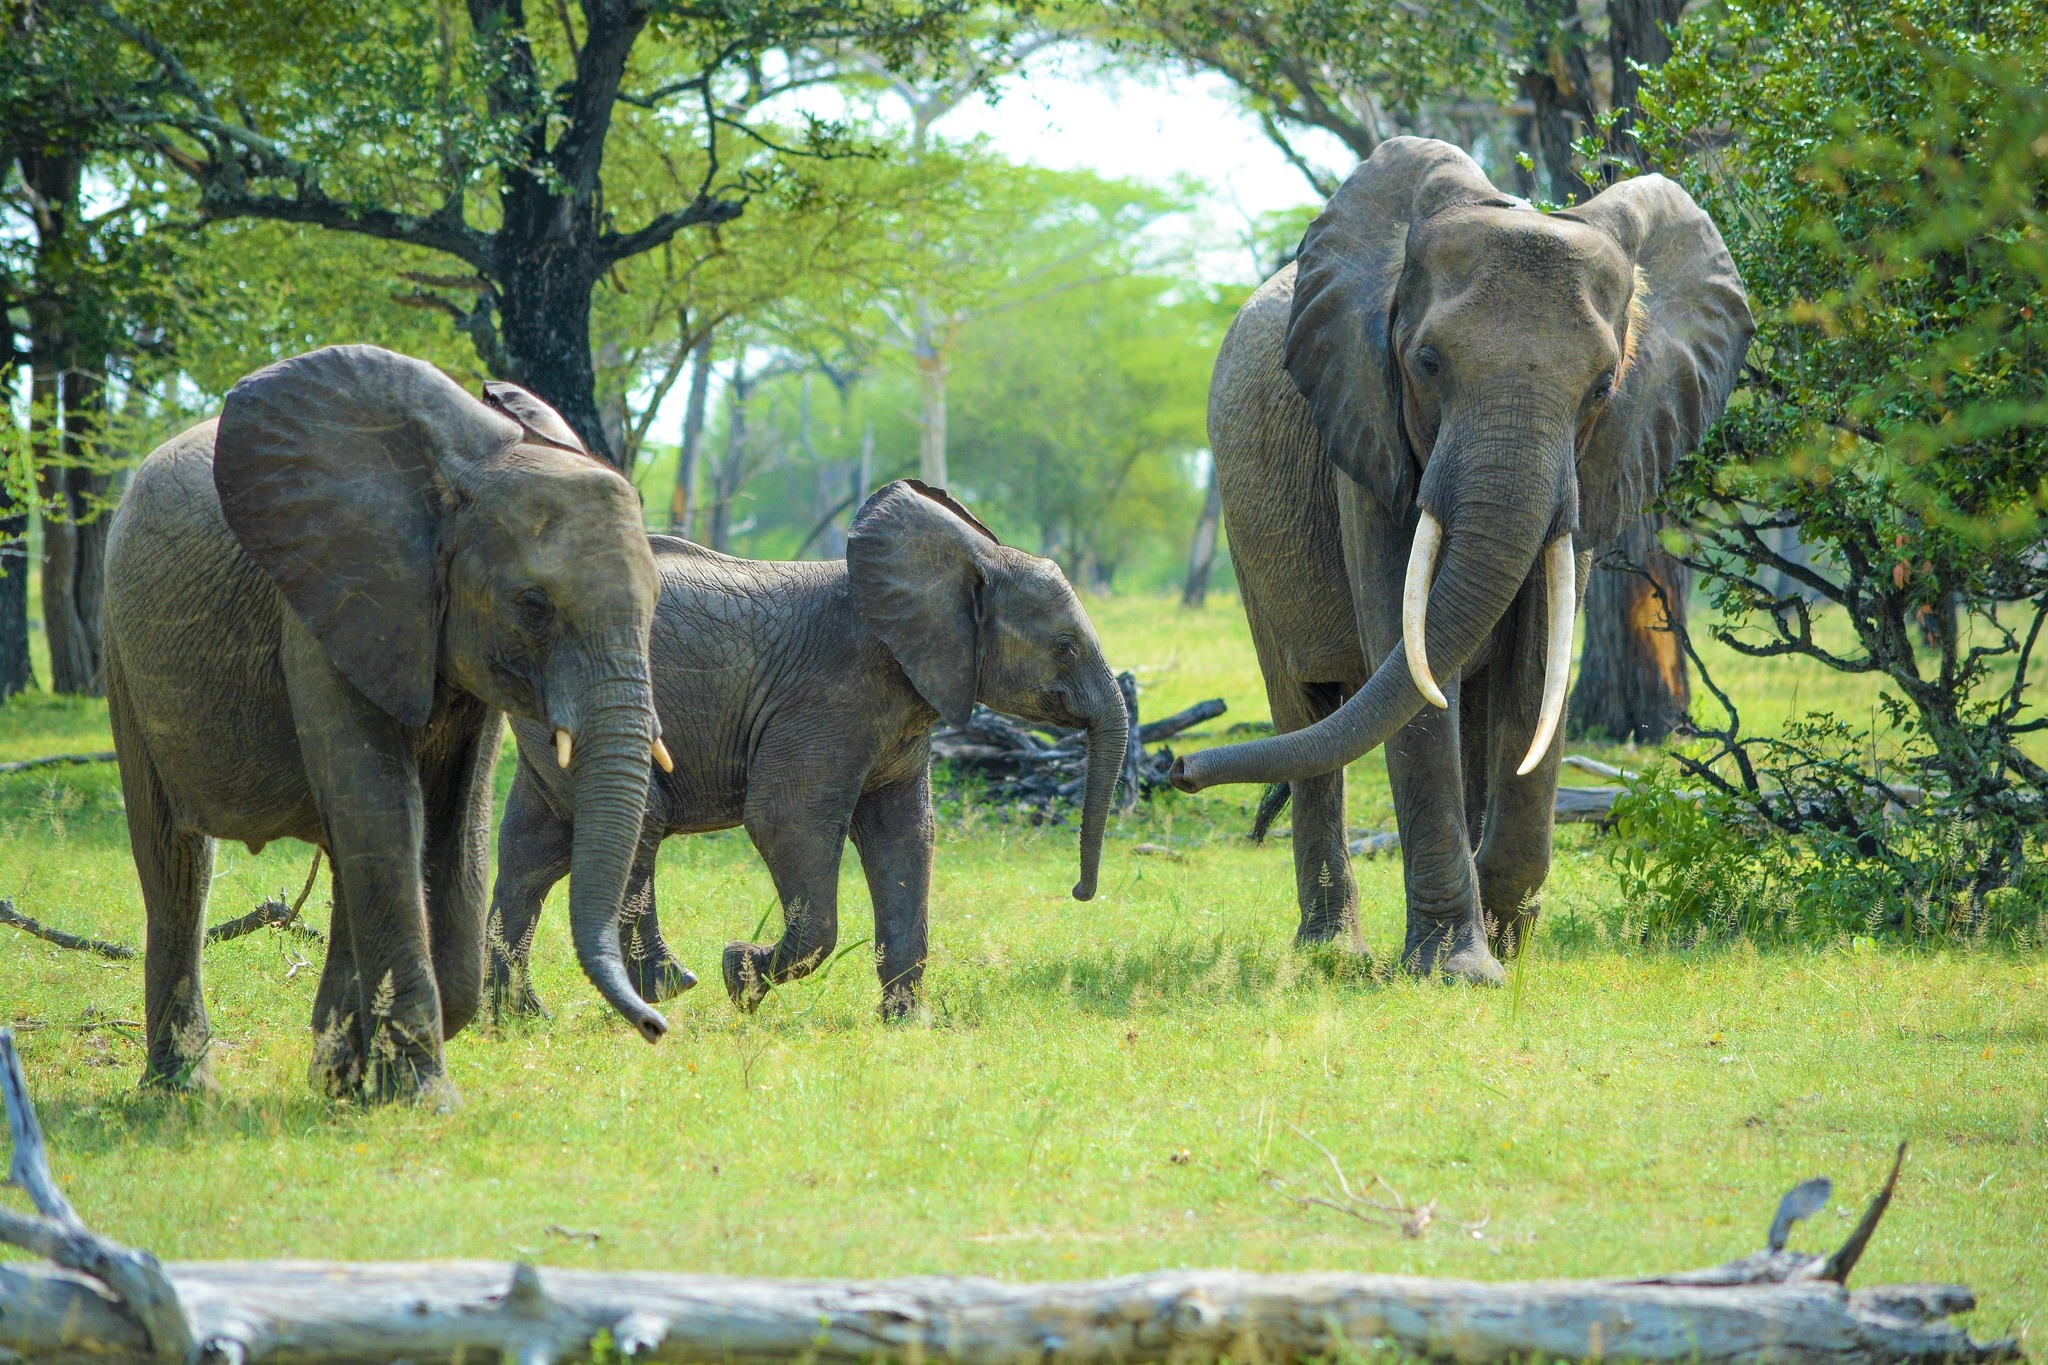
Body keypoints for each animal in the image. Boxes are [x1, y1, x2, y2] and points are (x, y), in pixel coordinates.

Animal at [103, 347, 667, 1105]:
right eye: (533, 605)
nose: (657, 1026)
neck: (454, 482)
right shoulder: (326, 606)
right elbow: (381, 807)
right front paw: (422, 1100)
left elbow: (452, 820)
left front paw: (358, 1079)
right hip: (120, 646)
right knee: (176, 861)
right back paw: (181, 1092)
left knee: (344, 854)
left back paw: (330, 1067)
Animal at [491, 474, 1138, 1019]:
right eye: (1065, 645)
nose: (1080, 892)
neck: (968, 562)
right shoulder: (833, 693)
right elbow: (787, 818)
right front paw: (740, 977)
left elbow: (906, 833)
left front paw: (905, 1023)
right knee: (634, 820)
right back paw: (669, 987)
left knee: (533, 851)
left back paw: (519, 1021)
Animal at [1179, 136, 1753, 982]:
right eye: (1426, 362)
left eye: (1603, 386)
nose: (1181, 770)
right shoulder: (1366, 431)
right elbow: (1413, 666)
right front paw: (1458, 970)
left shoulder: (1593, 467)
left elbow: (1536, 666)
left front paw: (1506, 942)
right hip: (1245, 522)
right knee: (1306, 708)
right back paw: (1333, 952)